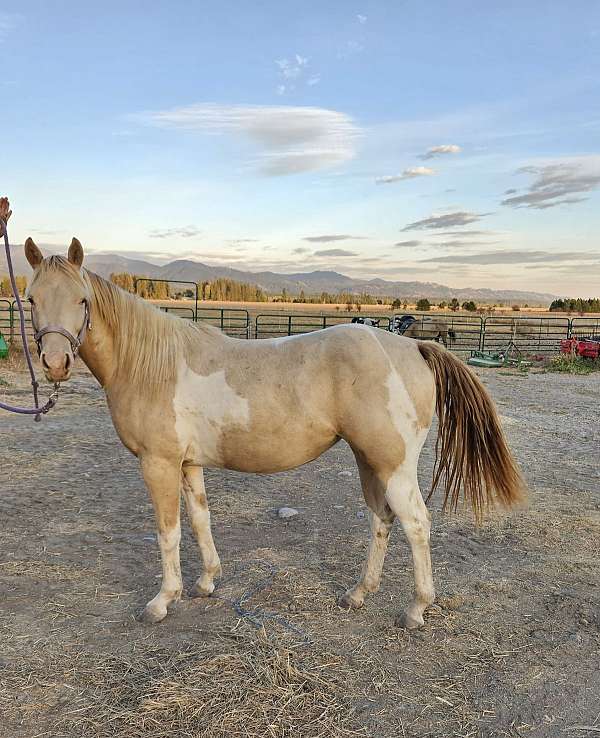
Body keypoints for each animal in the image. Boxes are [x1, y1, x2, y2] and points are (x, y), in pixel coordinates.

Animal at [21, 237, 524, 628]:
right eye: (30, 299)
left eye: (82, 299)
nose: (55, 363)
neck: (151, 364)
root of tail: (413, 347)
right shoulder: (188, 464)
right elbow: (200, 520)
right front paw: (206, 581)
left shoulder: (157, 464)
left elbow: (168, 532)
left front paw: (163, 601)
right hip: (369, 461)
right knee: (381, 519)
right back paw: (359, 593)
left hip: (393, 465)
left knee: (416, 523)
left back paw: (416, 609)